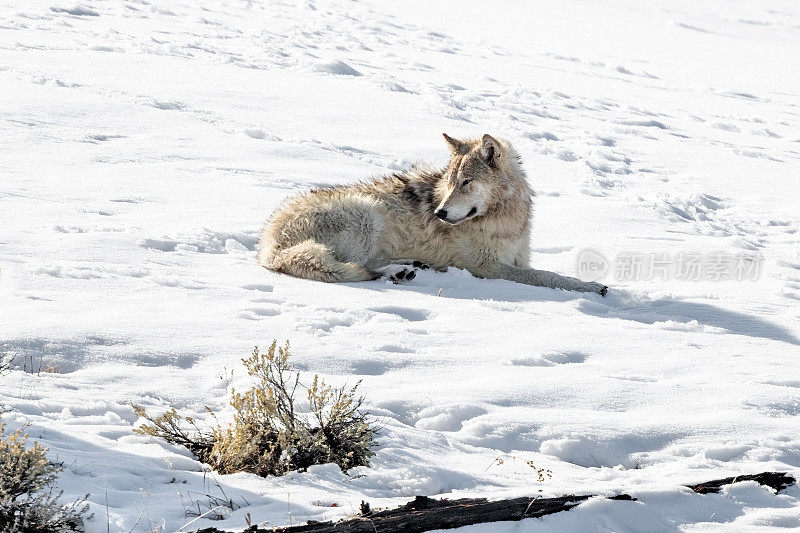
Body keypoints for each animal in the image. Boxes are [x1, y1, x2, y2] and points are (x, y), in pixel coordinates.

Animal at [260, 131, 608, 294]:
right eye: (450, 182)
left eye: (466, 182)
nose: (439, 213)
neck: (504, 220)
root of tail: (267, 247)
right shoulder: (489, 268)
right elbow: (548, 277)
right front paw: (593, 288)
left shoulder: (518, 259)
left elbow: (545, 272)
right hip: (368, 215)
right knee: (357, 268)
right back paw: (398, 272)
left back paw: (408, 268)